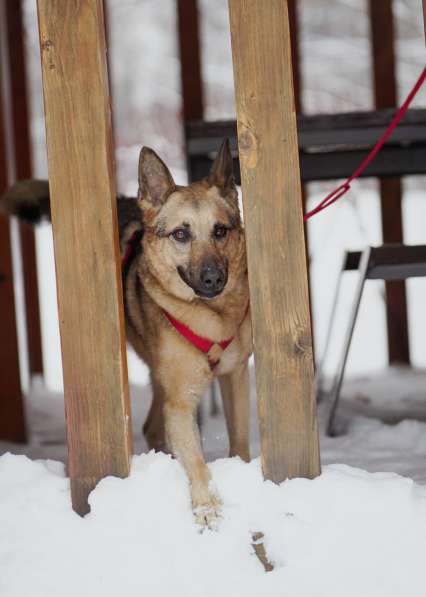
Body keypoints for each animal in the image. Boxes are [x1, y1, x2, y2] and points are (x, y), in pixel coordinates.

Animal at [0, 139, 253, 528]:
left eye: (220, 231)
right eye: (181, 234)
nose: (213, 279)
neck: (210, 316)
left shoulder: (234, 378)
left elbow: (239, 439)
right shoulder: (181, 402)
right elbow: (196, 461)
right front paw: (206, 508)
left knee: (152, 426)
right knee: (153, 428)